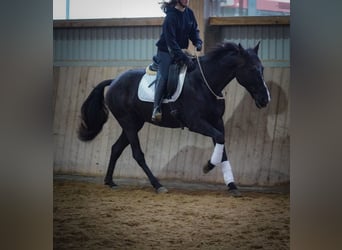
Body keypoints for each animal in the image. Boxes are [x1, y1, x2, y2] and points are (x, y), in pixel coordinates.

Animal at [77, 42, 270, 196]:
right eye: (253, 69)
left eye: (262, 69)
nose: (265, 99)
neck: (204, 83)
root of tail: (114, 81)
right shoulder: (195, 123)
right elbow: (219, 139)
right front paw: (208, 166)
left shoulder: (217, 122)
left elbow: (222, 146)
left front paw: (232, 186)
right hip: (129, 123)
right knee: (137, 154)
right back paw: (158, 185)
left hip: (134, 124)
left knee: (116, 148)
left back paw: (110, 181)